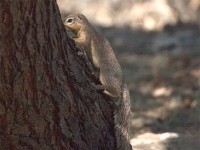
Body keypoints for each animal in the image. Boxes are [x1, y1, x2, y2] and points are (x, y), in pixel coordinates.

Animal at [64, 13, 132, 149]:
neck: (87, 26)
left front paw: (70, 37)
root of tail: (122, 83)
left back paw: (101, 89)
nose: (63, 23)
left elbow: (81, 41)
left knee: (116, 94)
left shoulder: (86, 35)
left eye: (70, 20)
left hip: (106, 76)